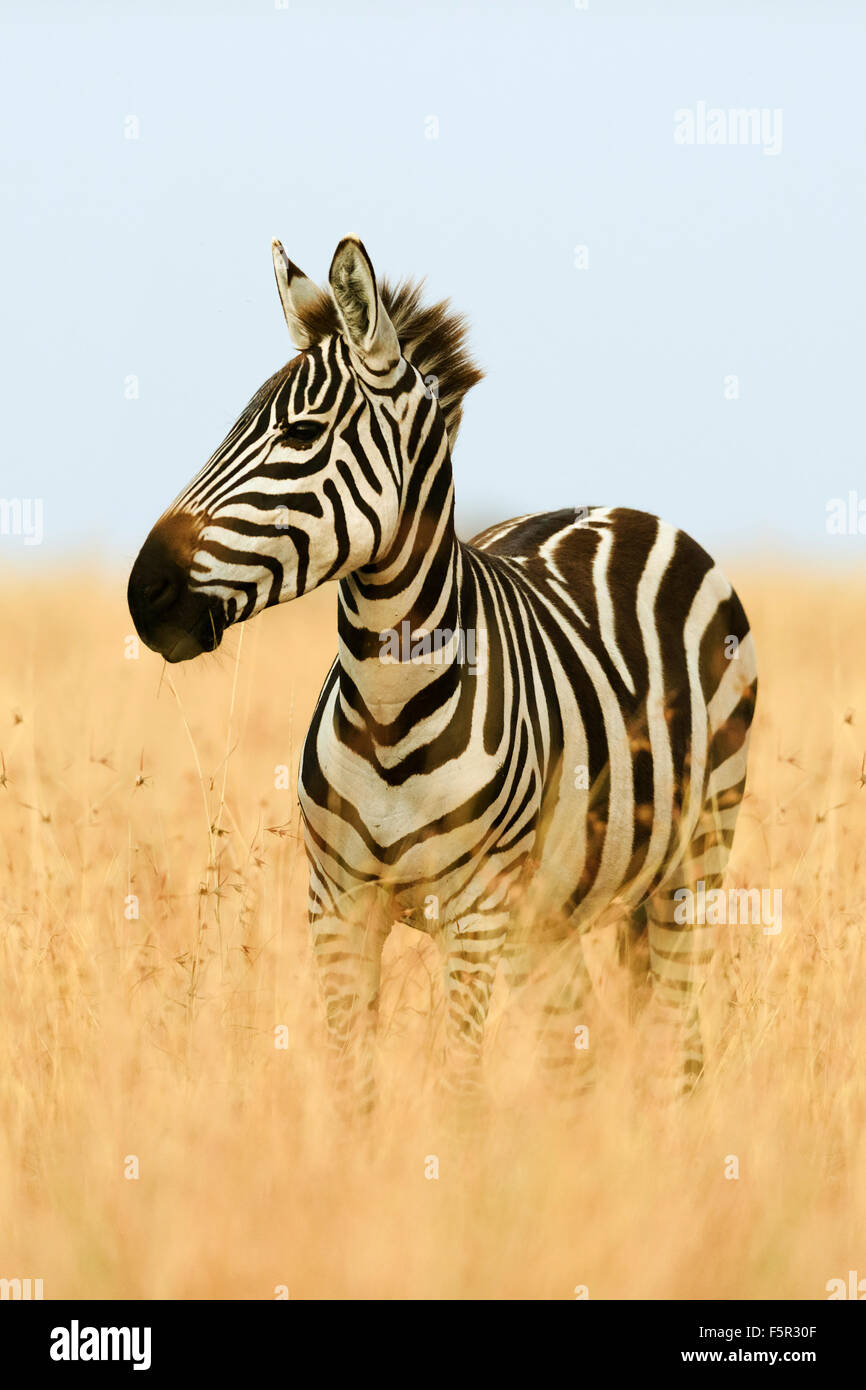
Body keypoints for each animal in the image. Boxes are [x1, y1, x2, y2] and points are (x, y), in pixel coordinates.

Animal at [128, 233, 756, 1112]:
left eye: (303, 434)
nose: (143, 593)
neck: (389, 711)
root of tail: (621, 510)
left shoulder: (476, 915)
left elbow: (459, 1090)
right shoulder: (337, 907)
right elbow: (354, 1087)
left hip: (692, 861)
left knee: (678, 1037)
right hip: (553, 915)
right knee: (581, 1049)